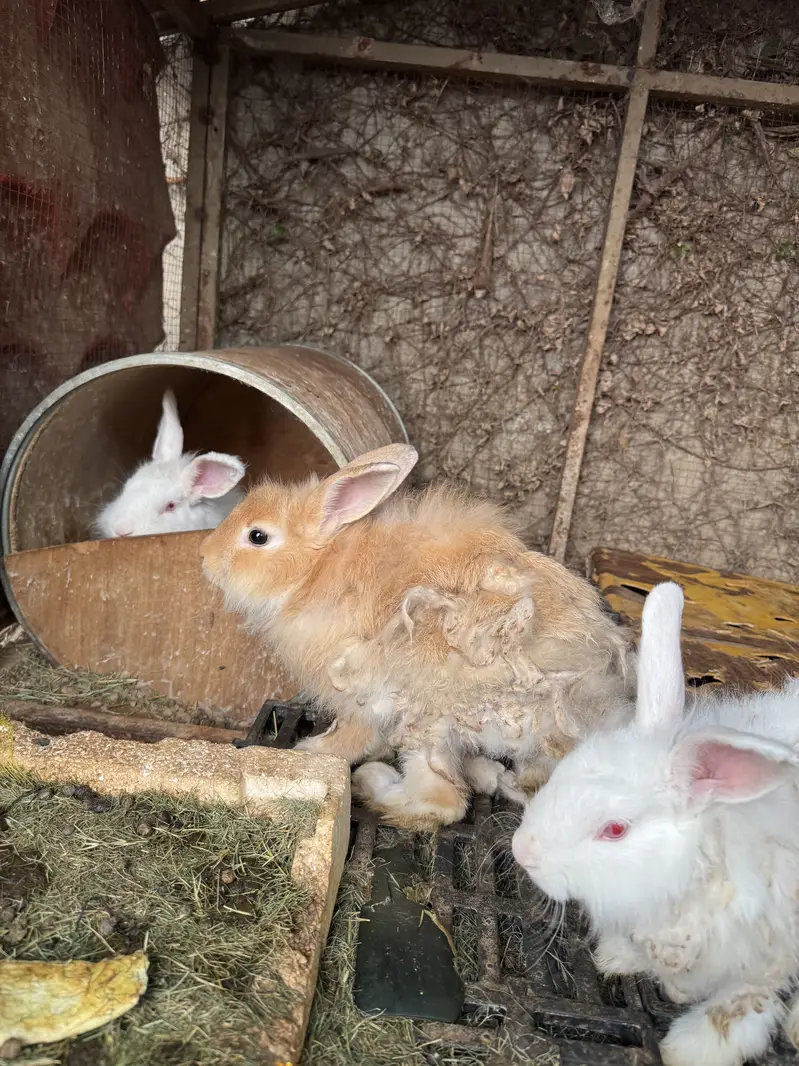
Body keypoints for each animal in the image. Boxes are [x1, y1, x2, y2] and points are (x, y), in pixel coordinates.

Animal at [201, 443, 633, 829]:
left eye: (257, 537)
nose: (205, 558)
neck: (314, 569)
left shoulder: (358, 692)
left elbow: (352, 737)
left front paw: (311, 751)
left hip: (430, 721)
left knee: (444, 803)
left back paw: (372, 786)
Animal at [512, 580, 799, 1066]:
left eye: (615, 829)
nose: (521, 850)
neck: (707, 856)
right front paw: (614, 957)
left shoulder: (766, 956)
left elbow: (741, 1003)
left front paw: (691, 1049)